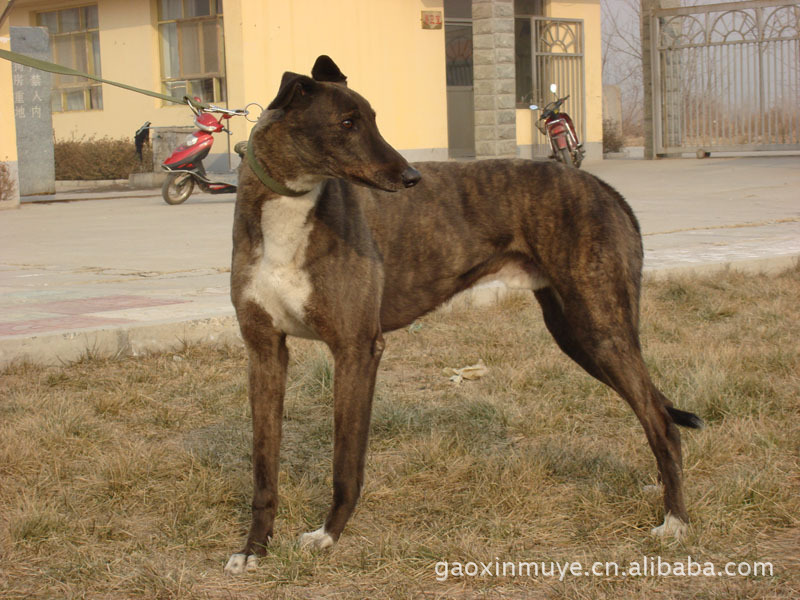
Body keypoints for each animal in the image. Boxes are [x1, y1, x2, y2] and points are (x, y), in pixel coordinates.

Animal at [223, 57, 700, 576]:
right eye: (347, 123)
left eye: (373, 118)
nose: (411, 176)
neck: (291, 209)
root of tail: (603, 187)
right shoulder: (264, 352)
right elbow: (263, 468)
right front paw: (253, 549)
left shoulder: (356, 349)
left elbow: (345, 464)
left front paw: (328, 534)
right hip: (577, 332)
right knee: (656, 410)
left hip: (600, 327)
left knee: (660, 419)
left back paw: (675, 521)